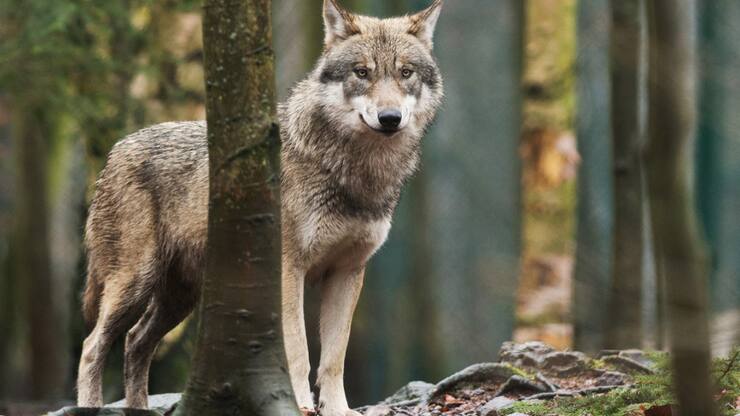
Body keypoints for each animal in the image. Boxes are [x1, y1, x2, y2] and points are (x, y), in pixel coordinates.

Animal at [76, 1, 443, 415]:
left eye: (405, 73)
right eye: (362, 72)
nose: (390, 118)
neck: (355, 172)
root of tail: (115, 150)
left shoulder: (348, 272)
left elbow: (334, 358)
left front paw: (337, 409)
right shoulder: (289, 270)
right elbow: (298, 350)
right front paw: (298, 404)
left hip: (179, 298)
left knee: (135, 343)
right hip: (135, 283)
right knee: (92, 346)